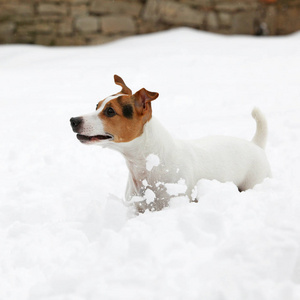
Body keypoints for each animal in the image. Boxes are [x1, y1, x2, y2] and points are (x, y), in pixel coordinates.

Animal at [71, 75, 272, 213]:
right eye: (97, 106)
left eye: (110, 111)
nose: (73, 120)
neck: (149, 165)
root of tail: (256, 145)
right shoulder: (137, 209)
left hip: (255, 182)